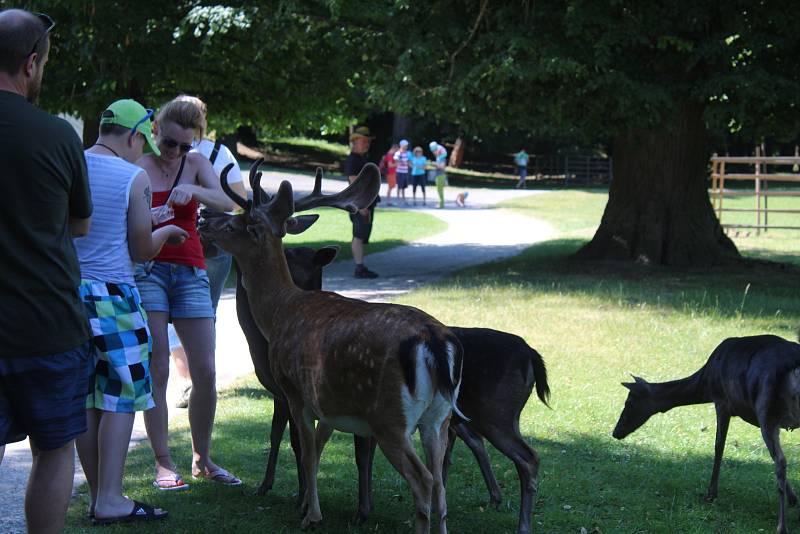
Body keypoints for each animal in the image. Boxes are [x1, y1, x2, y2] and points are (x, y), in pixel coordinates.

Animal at [198, 161, 462, 532]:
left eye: (236, 221)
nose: (203, 217)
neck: (279, 312)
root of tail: (435, 342)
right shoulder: (329, 405)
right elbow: (318, 449)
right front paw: (308, 505)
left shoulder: (295, 391)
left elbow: (306, 452)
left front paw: (311, 514)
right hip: (439, 418)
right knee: (440, 485)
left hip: (390, 416)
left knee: (423, 481)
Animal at [616, 336, 800, 534]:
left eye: (629, 401)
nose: (615, 432)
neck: (706, 383)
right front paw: (793, 498)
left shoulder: (722, 401)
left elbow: (719, 446)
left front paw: (710, 494)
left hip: (766, 408)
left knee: (781, 461)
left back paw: (781, 526)